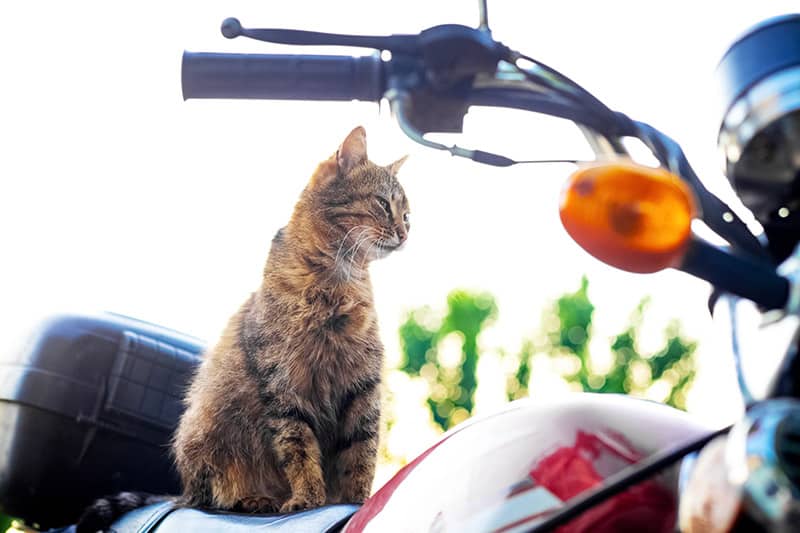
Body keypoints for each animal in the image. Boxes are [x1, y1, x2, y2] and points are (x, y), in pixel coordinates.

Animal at [76, 127, 410, 528]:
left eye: (407, 213)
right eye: (383, 204)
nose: (406, 232)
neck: (338, 279)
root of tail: (183, 492)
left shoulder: (363, 385)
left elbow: (360, 453)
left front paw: (357, 503)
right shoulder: (284, 387)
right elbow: (299, 449)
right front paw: (309, 499)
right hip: (207, 439)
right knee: (213, 497)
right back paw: (256, 500)